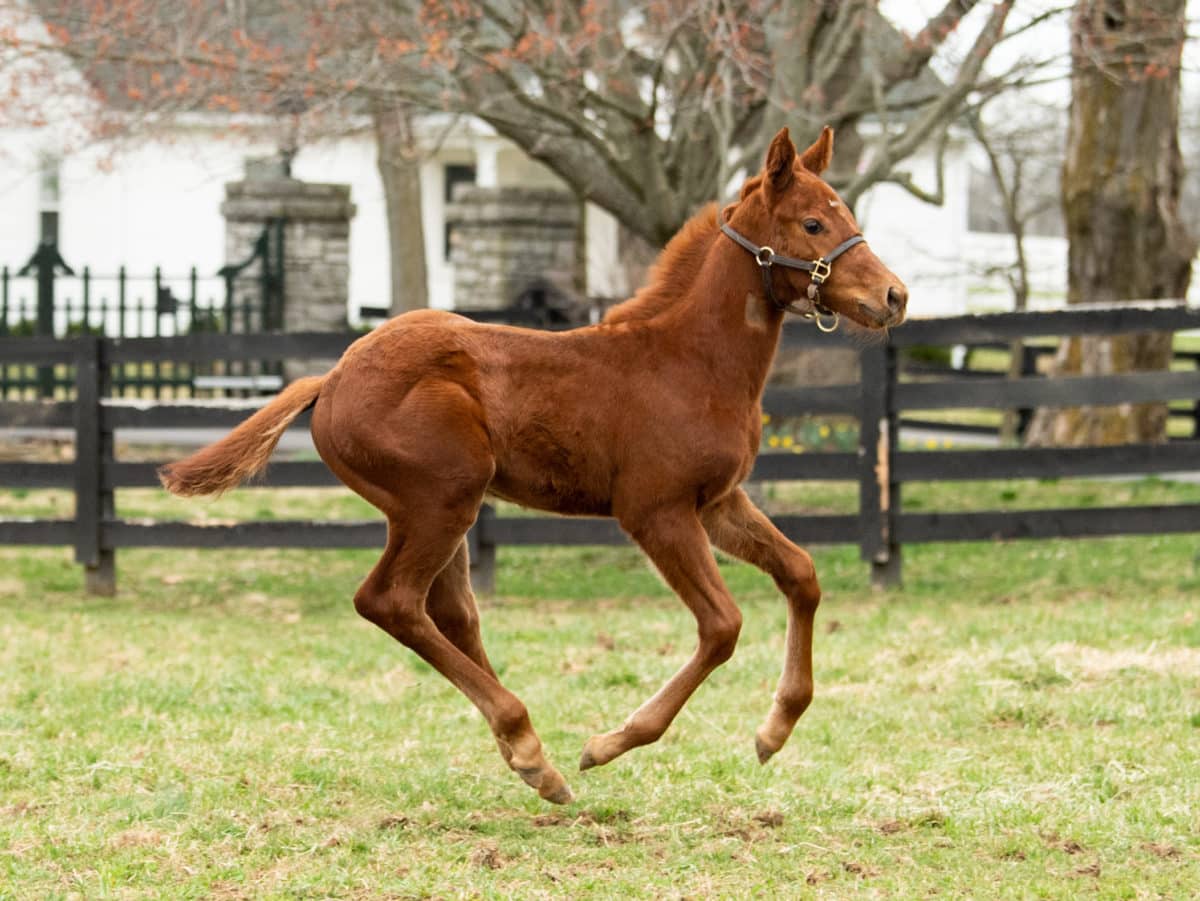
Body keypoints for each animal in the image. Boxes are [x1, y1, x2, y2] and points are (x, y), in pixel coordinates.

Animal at [164, 127, 902, 801]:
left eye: (845, 213)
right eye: (813, 222)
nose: (894, 296)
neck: (690, 361)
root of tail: (334, 376)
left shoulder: (719, 503)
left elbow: (801, 574)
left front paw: (775, 729)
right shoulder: (656, 511)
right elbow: (722, 625)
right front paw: (612, 741)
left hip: (439, 510)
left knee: (449, 611)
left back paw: (528, 754)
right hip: (443, 498)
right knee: (391, 600)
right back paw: (528, 742)